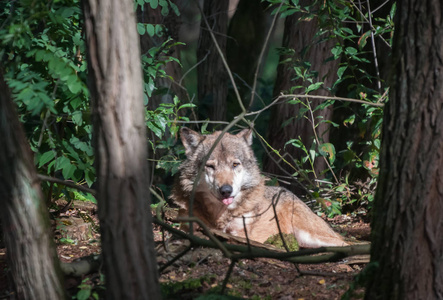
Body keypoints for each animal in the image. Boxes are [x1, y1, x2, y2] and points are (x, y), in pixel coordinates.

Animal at [172, 127, 348, 247]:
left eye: (235, 164)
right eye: (210, 166)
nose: (226, 190)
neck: (219, 216)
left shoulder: (241, 234)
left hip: (312, 235)